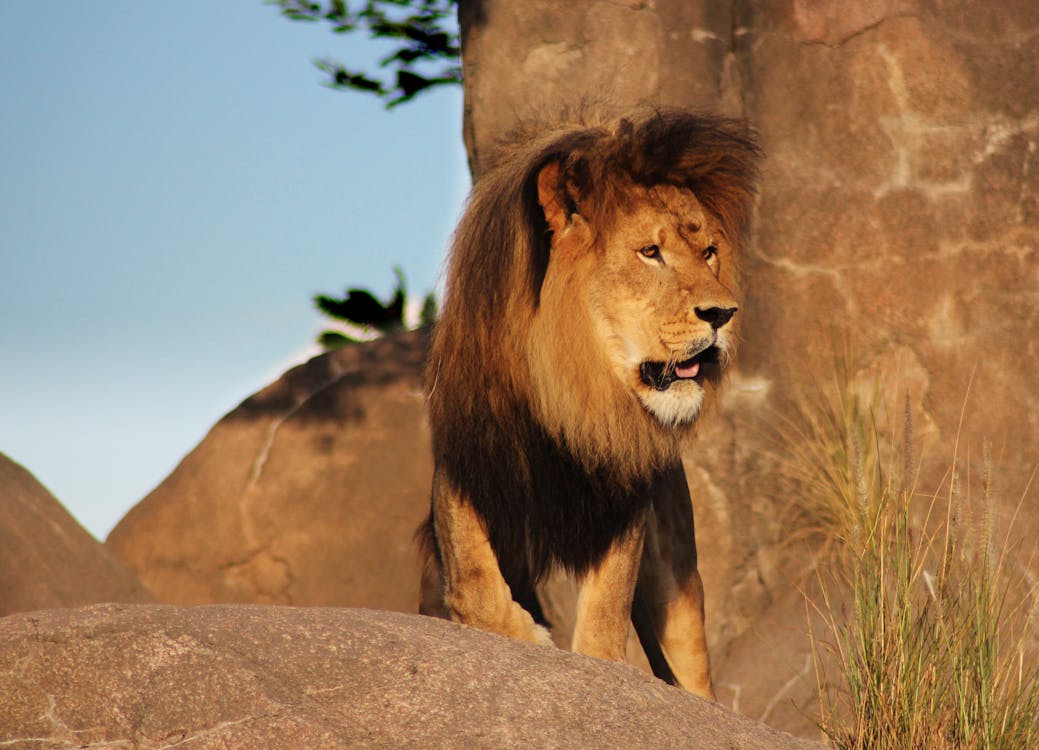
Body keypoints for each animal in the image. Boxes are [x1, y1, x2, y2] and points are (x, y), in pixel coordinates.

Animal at [415, 108, 764, 698]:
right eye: (651, 252)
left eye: (709, 253)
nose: (724, 314)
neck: (569, 393)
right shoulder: (466, 470)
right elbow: (475, 587)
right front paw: (529, 637)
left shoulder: (624, 501)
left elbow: (606, 611)